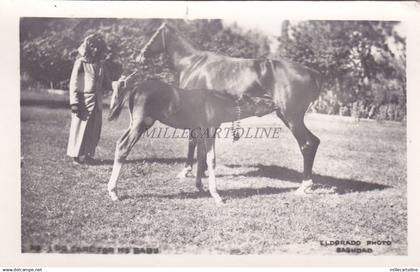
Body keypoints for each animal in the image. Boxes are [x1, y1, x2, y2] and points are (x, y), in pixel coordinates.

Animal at [106, 74, 278, 204]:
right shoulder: (210, 129)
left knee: (119, 143)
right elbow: (211, 159)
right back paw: (113, 191)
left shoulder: (199, 130)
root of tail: (134, 87)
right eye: (260, 101)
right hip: (142, 122)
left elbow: (201, 156)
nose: (275, 103)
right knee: (124, 147)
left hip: (137, 123)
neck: (220, 103)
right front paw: (216, 194)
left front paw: (199, 185)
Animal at [136, 22, 324, 194]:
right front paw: (202, 171)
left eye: (154, 34)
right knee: (314, 141)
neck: (194, 64)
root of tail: (312, 73)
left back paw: (304, 186)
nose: (139, 56)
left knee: (306, 144)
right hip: (289, 116)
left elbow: (192, 142)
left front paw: (186, 171)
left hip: (291, 117)